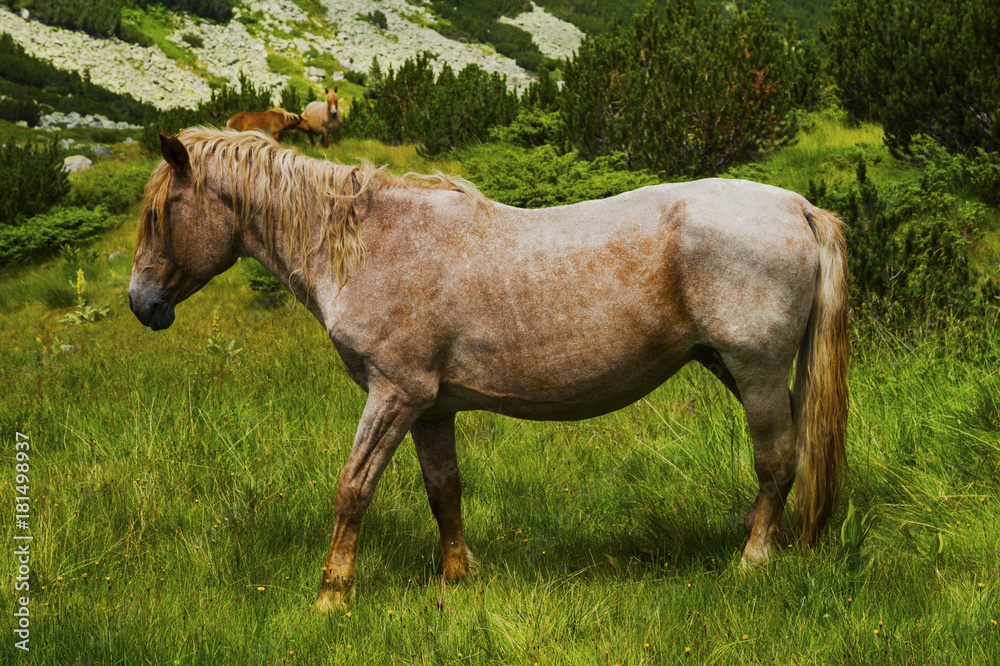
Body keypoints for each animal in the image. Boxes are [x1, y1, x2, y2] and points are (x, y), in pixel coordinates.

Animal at [130, 128, 849, 612]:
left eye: (160, 214)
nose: (142, 304)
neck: (368, 246)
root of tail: (796, 205)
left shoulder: (393, 395)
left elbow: (353, 488)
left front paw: (332, 594)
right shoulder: (430, 408)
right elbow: (443, 490)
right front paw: (458, 577)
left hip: (754, 371)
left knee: (776, 460)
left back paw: (753, 558)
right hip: (739, 369)